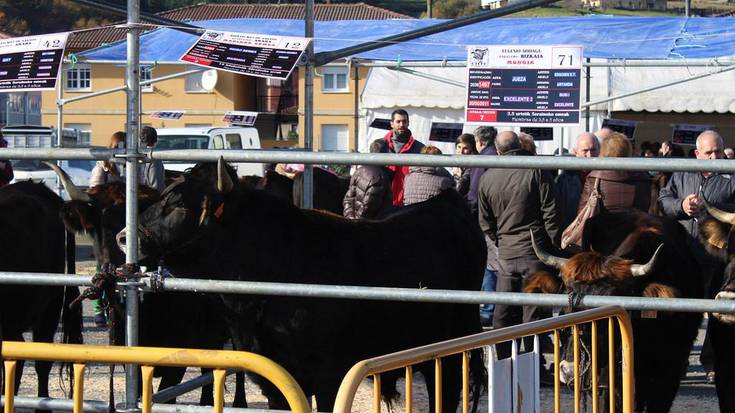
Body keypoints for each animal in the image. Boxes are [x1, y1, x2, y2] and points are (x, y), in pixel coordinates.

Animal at [131, 159, 488, 412]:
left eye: (179, 203)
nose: (125, 236)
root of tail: (444, 202)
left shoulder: (331, 373)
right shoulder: (274, 376)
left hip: (455, 343)